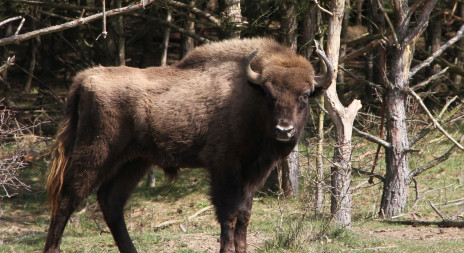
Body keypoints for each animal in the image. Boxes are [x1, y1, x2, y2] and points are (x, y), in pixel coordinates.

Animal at [44, 37, 334, 253]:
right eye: (269, 95)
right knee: (68, 197)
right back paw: (53, 248)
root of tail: (85, 78)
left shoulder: (252, 173)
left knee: (110, 200)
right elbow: (228, 213)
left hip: (135, 162)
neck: (250, 94)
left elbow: (244, 214)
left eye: (305, 95)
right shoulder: (224, 168)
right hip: (96, 153)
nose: (284, 130)